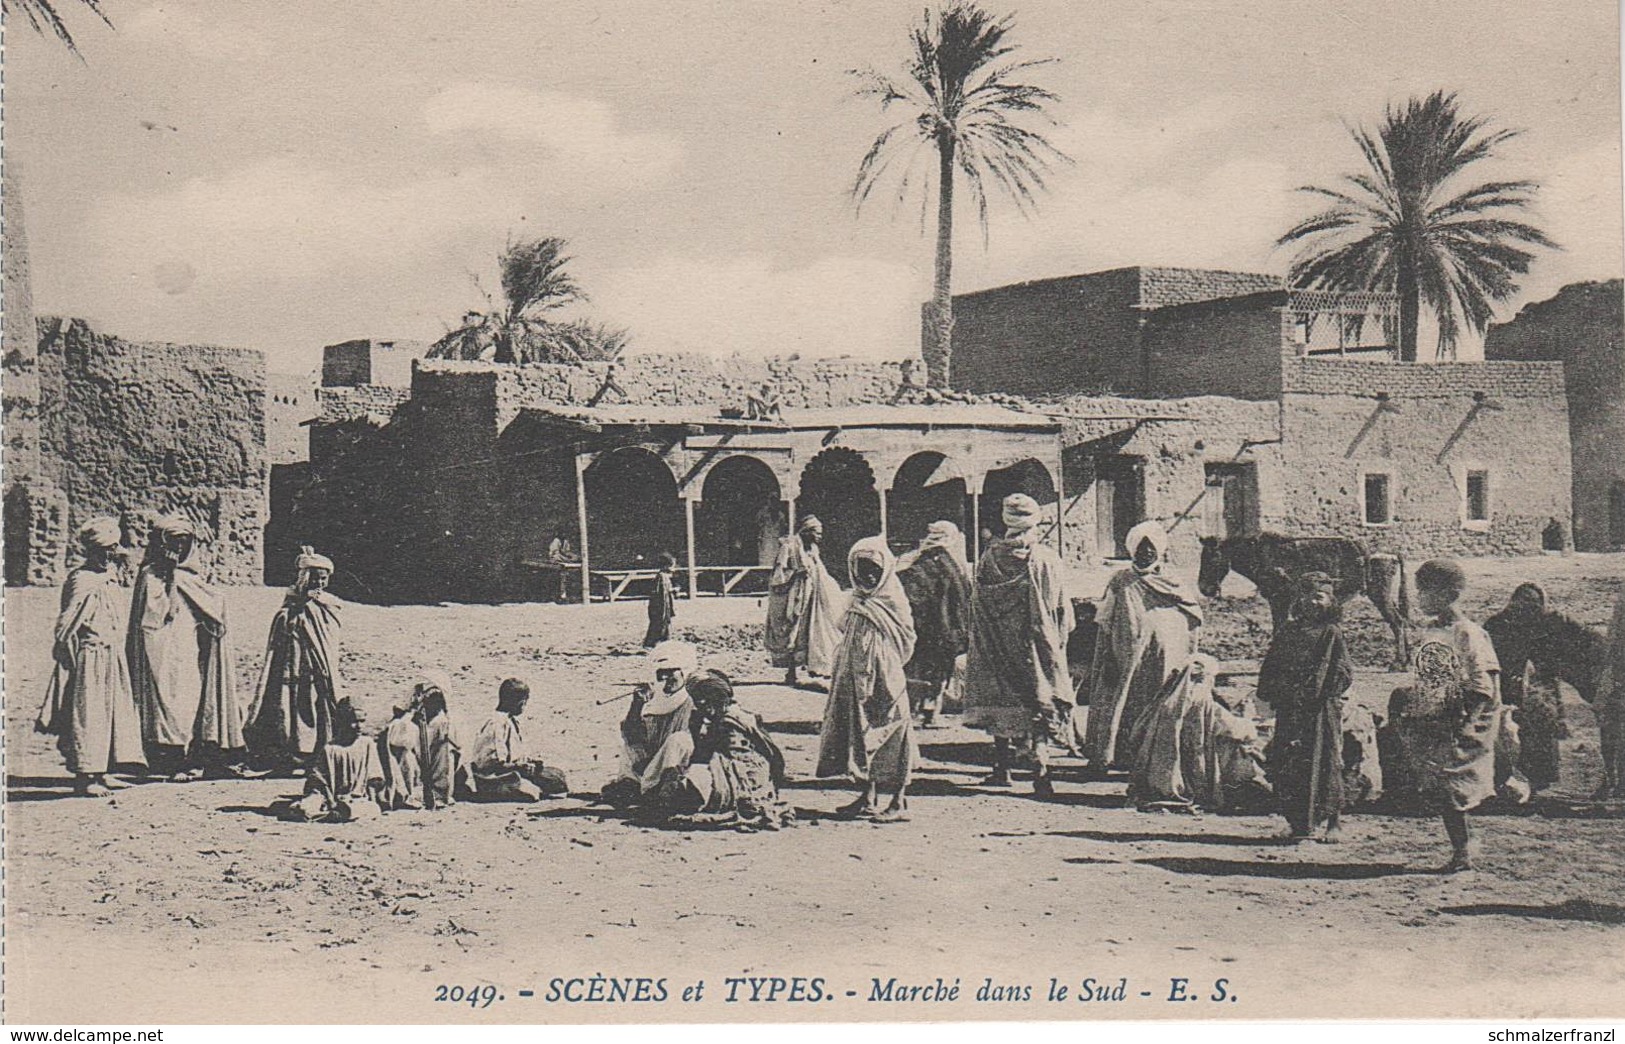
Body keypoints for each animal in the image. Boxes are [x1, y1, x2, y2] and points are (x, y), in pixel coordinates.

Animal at [1196, 526, 1410, 666]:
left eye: (1213, 557)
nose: (1204, 589)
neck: (1263, 556)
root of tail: (1391, 552)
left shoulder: (1280, 600)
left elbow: (1279, 629)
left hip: (1379, 594)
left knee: (1396, 622)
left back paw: (1398, 662)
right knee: (1400, 619)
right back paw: (1407, 658)